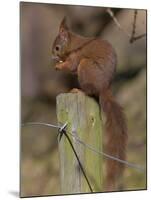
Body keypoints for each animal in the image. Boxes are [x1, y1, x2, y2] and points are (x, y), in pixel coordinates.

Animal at [51, 17, 127, 191]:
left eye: (57, 47)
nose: (52, 56)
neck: (73, 45)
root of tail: (104, 87)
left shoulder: (76, 57)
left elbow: (71, 65)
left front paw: (59, 65)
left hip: (85, 65)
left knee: (89, 91)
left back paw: (79, 91)